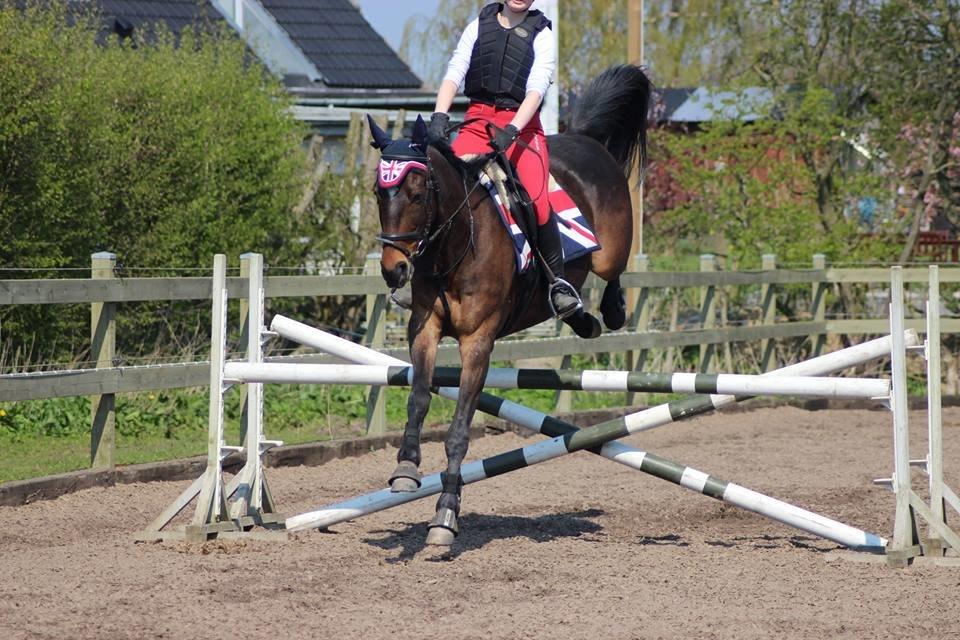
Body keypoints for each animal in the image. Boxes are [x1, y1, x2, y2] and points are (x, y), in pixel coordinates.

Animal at [368, 64, 651, 546]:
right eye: (378, 192)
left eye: (418, 193)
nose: (395, 270)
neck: (454, 247)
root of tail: (582, 138)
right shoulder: (424, 330)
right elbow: (419, 399)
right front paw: (406, 467)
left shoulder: (478, 342)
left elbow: (459, 431)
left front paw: (445, 516)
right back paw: (581, 318)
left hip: (609, 249)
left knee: (612, 272)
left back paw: (604, 312)